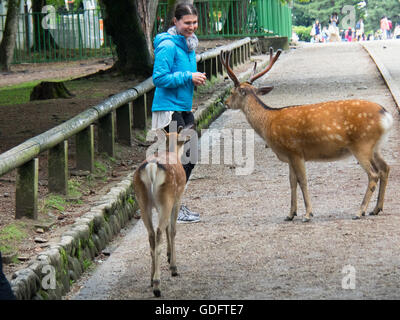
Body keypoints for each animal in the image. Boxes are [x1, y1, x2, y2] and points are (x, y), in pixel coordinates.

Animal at [220, 48, 392, 222]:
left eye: (232, 92)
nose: (225, 103)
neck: (268, 122)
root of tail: (386, 115)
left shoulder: (295, 151)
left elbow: (302, 181)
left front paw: (308, 214)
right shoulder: (289, 156)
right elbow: (292, 182)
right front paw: (290, 214)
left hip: (361, 145)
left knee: (373, 174)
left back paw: (360, 211)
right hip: (375, 147)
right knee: (385, 168)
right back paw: (376, 209)